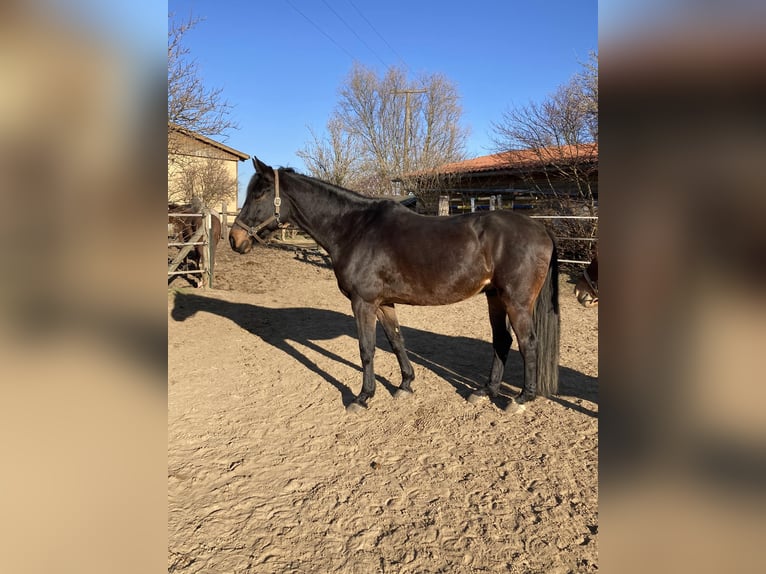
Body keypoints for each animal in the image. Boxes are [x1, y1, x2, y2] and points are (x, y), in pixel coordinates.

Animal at [231, 158, 560, 414]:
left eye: (259, 194)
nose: (236, 239)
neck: (354, 229)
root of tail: (541, 229)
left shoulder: (363, 302)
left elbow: (366, 349)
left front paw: (363, 397)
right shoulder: (383, 303)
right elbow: (396, 341)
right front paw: (405, 384)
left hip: (516, 301)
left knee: (527, 343)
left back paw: (521, 399)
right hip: (494, 296)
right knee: (502, 341)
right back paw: (484, 391)